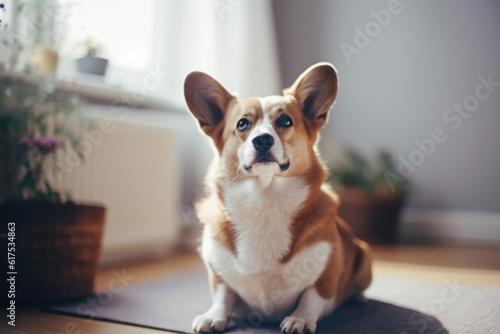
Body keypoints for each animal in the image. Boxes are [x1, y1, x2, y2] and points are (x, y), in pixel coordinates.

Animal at [184, 63, 372, 334]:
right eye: (242, 124)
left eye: (285, 121)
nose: (262, 139)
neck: (264, 199)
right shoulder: (217, 272)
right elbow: (222, 294)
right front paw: (215, 316)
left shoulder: (326, 275)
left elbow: (311, 297)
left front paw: (300, 319)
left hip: (365, 254)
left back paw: (358, 296)